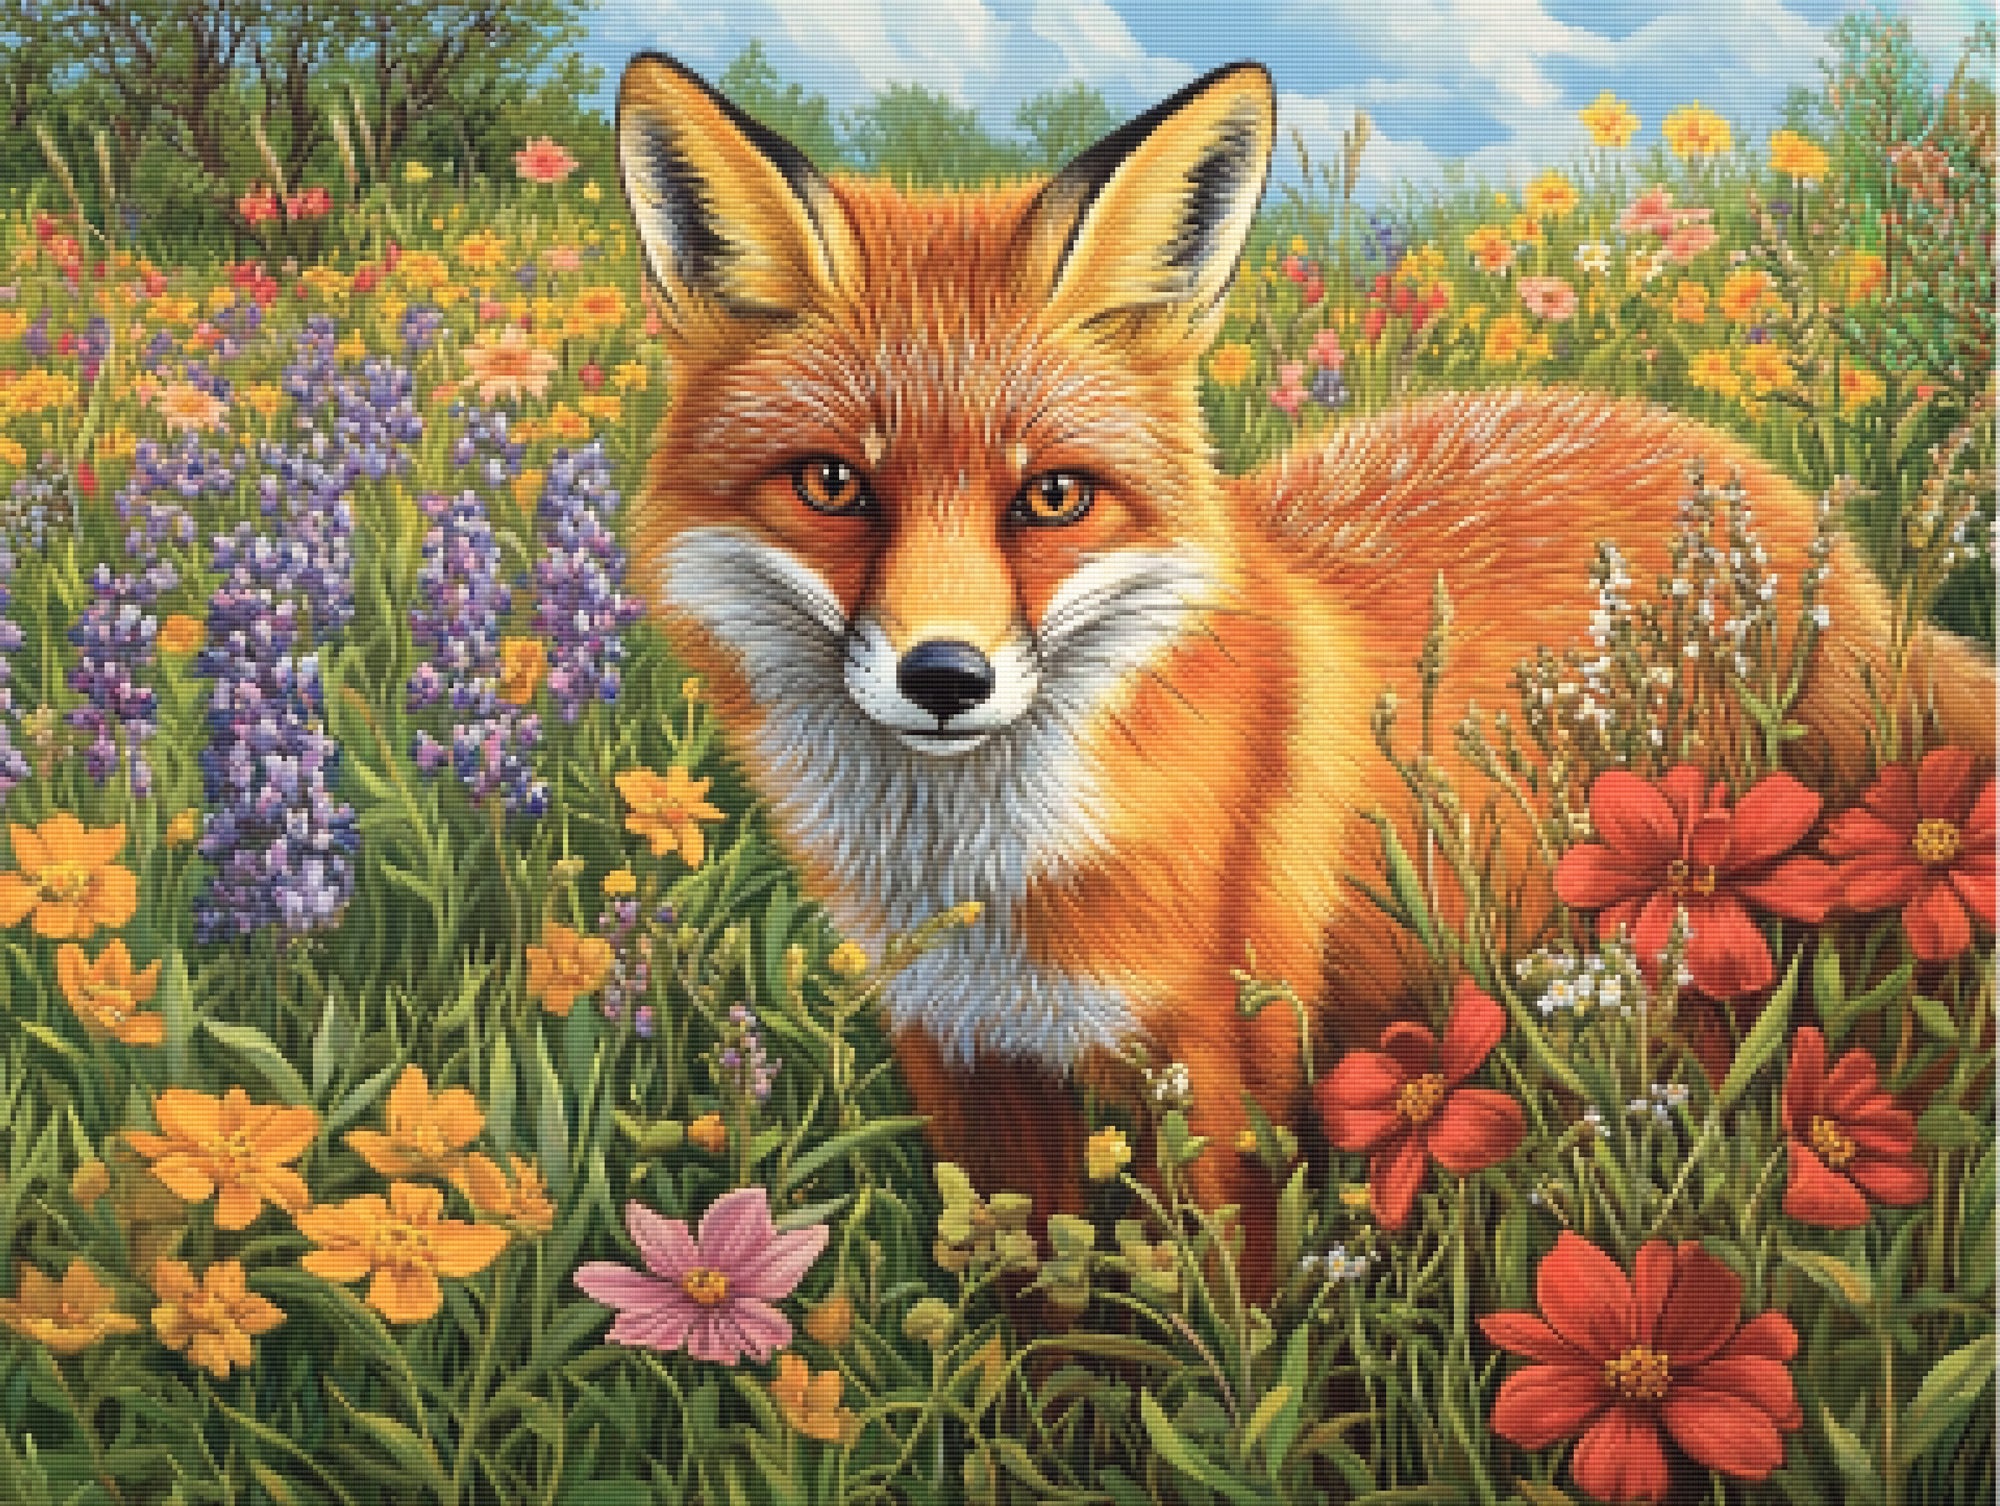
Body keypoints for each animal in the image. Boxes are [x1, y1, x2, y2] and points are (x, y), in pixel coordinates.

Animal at [613, 53, 1995, 1287]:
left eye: (1051, 496)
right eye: (832, 485)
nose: (944, 678)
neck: (985, 874)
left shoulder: (1218, 1072)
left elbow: (1226, 1333)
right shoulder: (969, 1064)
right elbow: (1036, 1335)